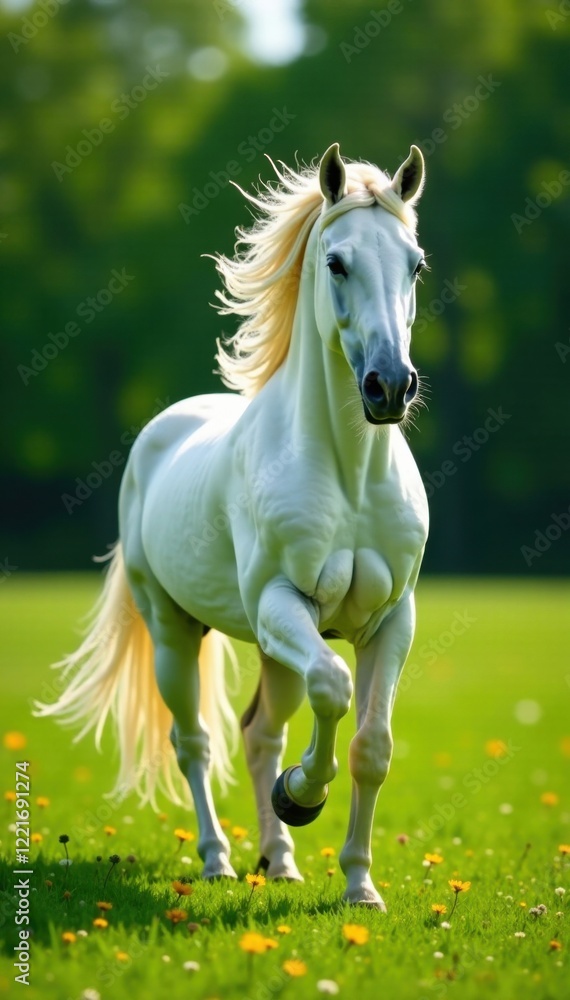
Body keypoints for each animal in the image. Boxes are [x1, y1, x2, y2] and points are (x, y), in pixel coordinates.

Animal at [36, 142, 429, 910]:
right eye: (336, 262)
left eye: (416, 263)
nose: (390, 387)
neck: (349, 477)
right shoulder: (281, 603)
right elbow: (334, 688)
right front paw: (302, 794)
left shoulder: (390, 620)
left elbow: (372, 746)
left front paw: (359, 886)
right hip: (176, 634)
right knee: (196, 742)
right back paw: (220, 859)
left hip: (279, 649)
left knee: (259, 735)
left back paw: (281, 861)